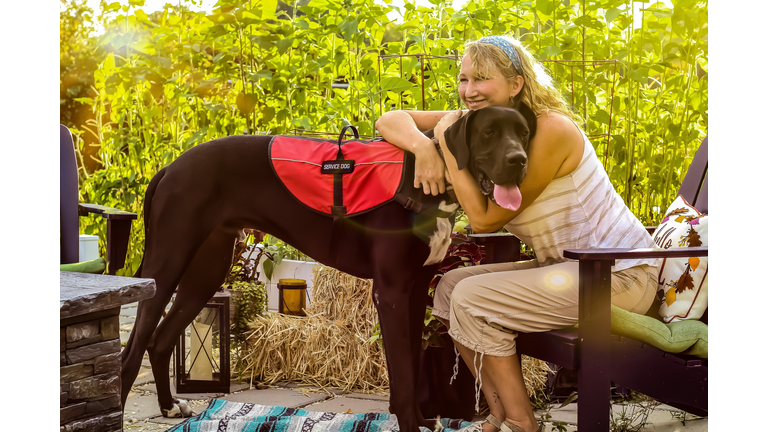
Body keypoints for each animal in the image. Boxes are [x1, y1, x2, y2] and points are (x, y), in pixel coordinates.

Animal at [121, 102, 536, 432]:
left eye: (524, 132)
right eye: (488, 133)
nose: (520, 162)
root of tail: (169, 168)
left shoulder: (417, 290)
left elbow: (414, 363)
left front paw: (421, 420)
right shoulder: (390, 292)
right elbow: (402, 376)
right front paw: (408, 424)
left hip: (207, 269)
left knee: (159, 341)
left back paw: (169, 406)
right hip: (167, 263)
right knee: (132, 350)